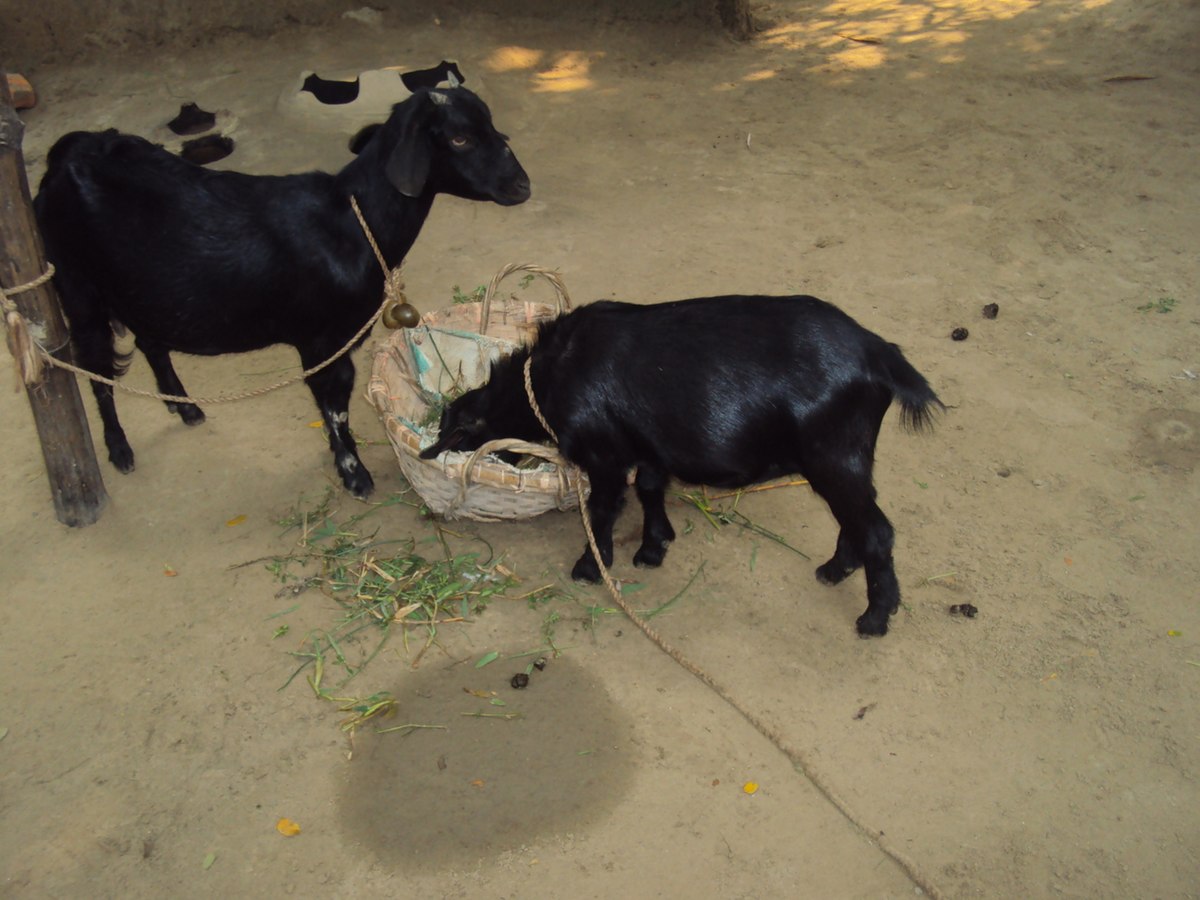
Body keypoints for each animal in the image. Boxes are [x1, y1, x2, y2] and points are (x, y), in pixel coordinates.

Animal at [34, 86, 530, 498]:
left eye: (492, 128)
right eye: (460, 139)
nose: (522, 185)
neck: (351, 222)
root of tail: (67, 151)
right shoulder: (323, 340)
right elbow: (335, 404)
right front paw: (355, 475)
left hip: (141, 288)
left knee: (150, 341)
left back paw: (185, 407)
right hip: (76, 285)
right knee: (94, 364)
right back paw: (119, 449)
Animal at [420, 295, 943, 636]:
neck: (551, 373)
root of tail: (881, 355)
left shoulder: (605, 455)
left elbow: (606, 508)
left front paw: (590, 566)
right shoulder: (650, 448)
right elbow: (652, 487)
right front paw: (654, 547)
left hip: (834, 456)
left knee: (877, 530)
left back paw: (874, 618)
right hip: (849, 460)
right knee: (858, 518)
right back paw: (835, 570)